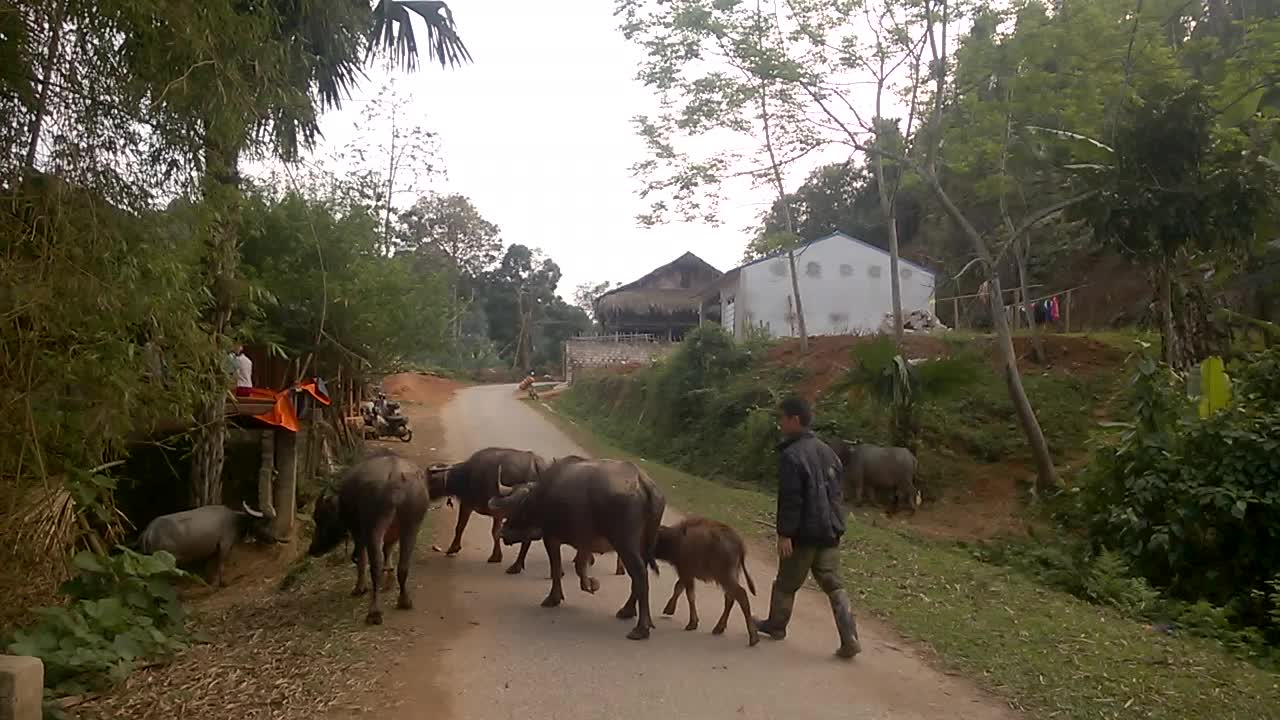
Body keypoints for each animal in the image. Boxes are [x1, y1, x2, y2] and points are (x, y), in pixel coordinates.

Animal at [137, 502, 280, 586]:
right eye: (264, 523)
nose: (274, 539)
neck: (235, 521)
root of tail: (148, 531)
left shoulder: (211, 550)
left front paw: (209, 581)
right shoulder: (224, 545)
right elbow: (221, 564)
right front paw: (222, 583)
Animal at [488, 453, 665, 638]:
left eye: (515, 509)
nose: (503, 532)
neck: (545, 494)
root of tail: (643, 481)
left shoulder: (551, 537)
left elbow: (557, 568)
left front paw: (554, 597)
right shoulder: (584, 542)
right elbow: (580, 565)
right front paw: (590, 584)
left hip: (626, 545)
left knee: (640, 575)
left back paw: (641, 628)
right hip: (643, 546)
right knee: (639, 577)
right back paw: (627, 611)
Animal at [655, 515, 752, 645]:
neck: (676, 539)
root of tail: (740, 545)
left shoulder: (685, 572)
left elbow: (689, 595)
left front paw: (692, 623)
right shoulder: (686, 573)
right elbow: (678, 588)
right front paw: (669, 609)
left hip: (724, 576)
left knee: (741, 595)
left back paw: (753, 637)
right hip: (732, 575)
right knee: (730, 598)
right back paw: (719, 627)